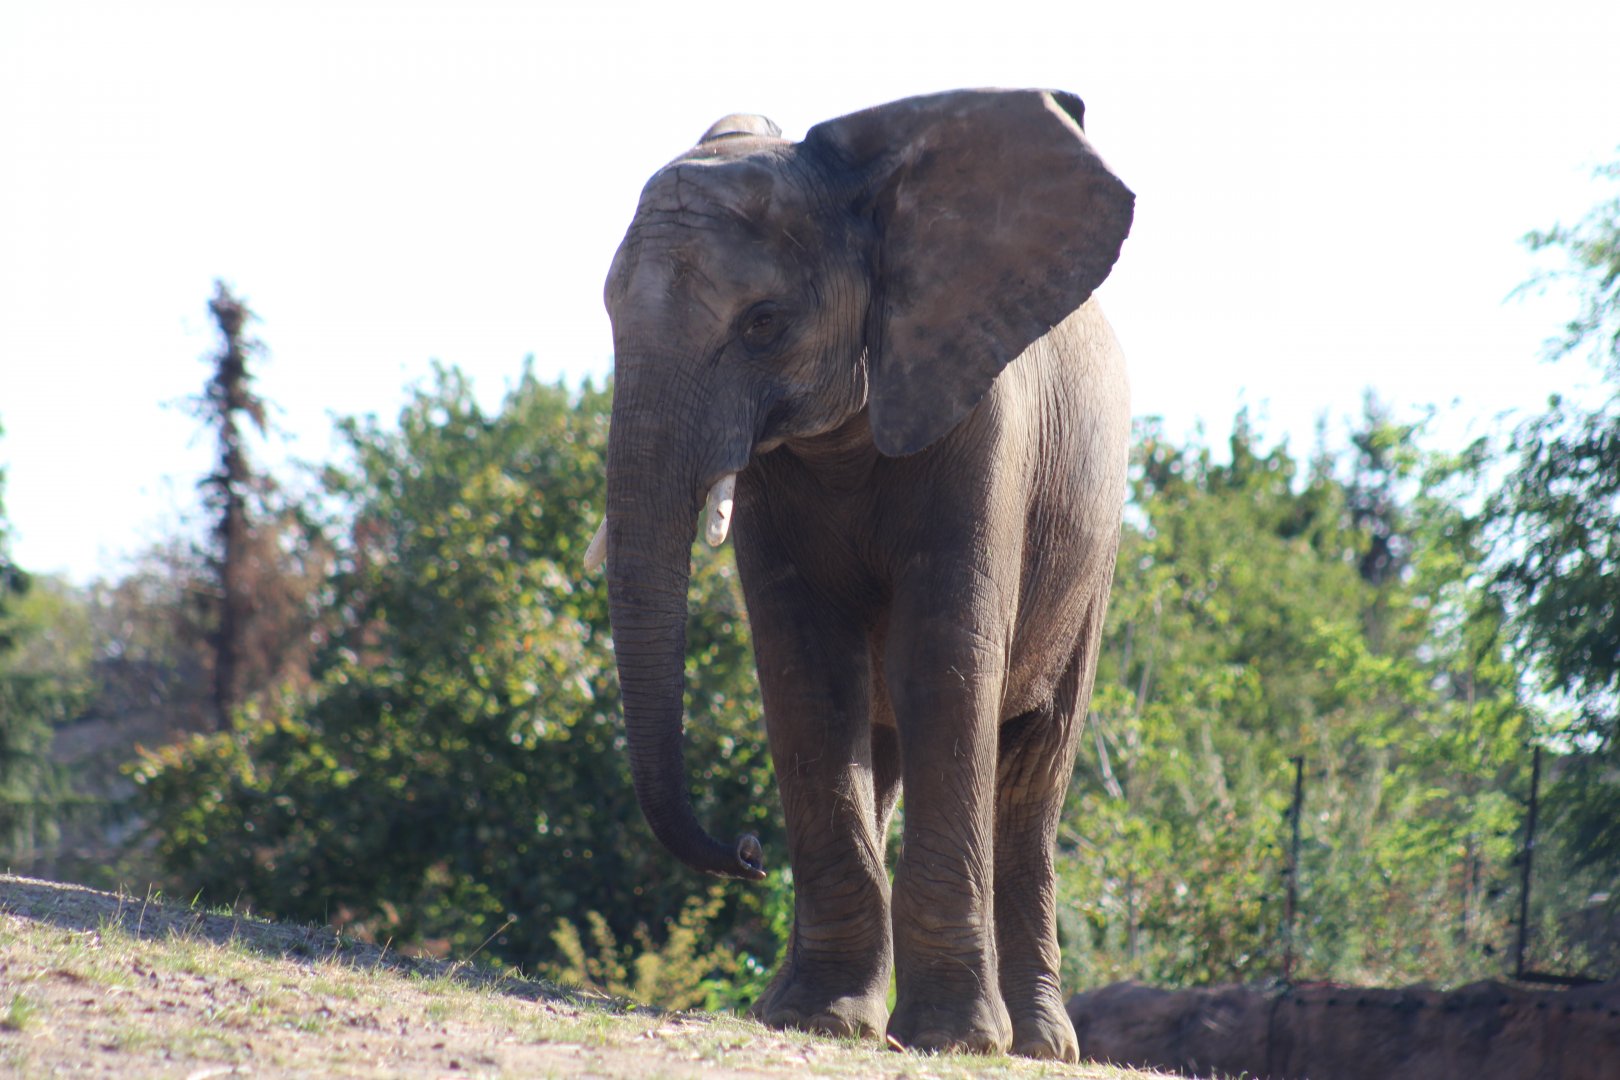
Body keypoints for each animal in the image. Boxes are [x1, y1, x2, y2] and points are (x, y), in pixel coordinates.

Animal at [590, 88, 1134, 1060]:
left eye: (763, 323)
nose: (745, 852)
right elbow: (806, 670)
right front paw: (820, 1020)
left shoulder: (985, 418)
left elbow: (945, 661)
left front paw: (955, 1040)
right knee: (877, 751)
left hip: (1095, 544)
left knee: (1035, 770)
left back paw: (1039, 1045)